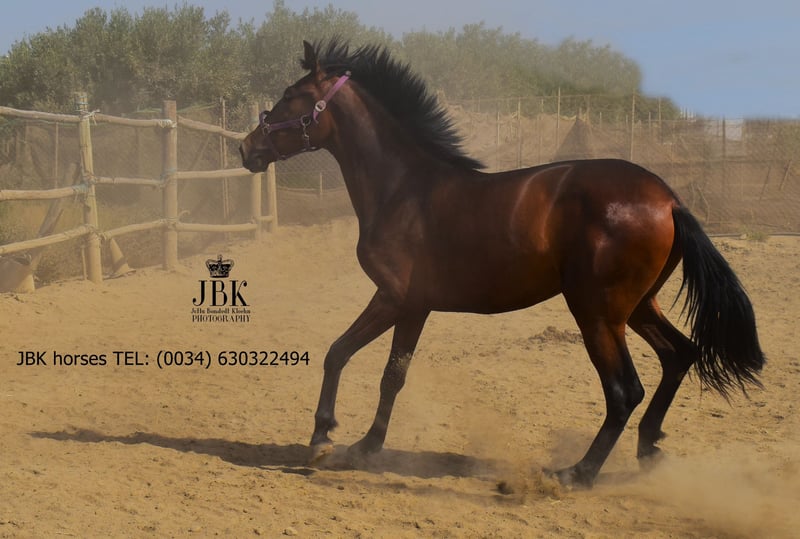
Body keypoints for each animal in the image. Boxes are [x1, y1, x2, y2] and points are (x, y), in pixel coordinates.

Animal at [240, 39, 764, 488]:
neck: (403, 188)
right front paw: (365, 446)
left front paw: (322, 438)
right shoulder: (415, 306)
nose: (247, 148)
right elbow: (393, 375)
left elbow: (337, 352)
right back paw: (649, 451)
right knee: (679, 355)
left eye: (291, 96)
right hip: (636, 307)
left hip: (596, 313)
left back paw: (575, 475)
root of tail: (669, 199)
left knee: (624, 390)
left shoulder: (390, 297)